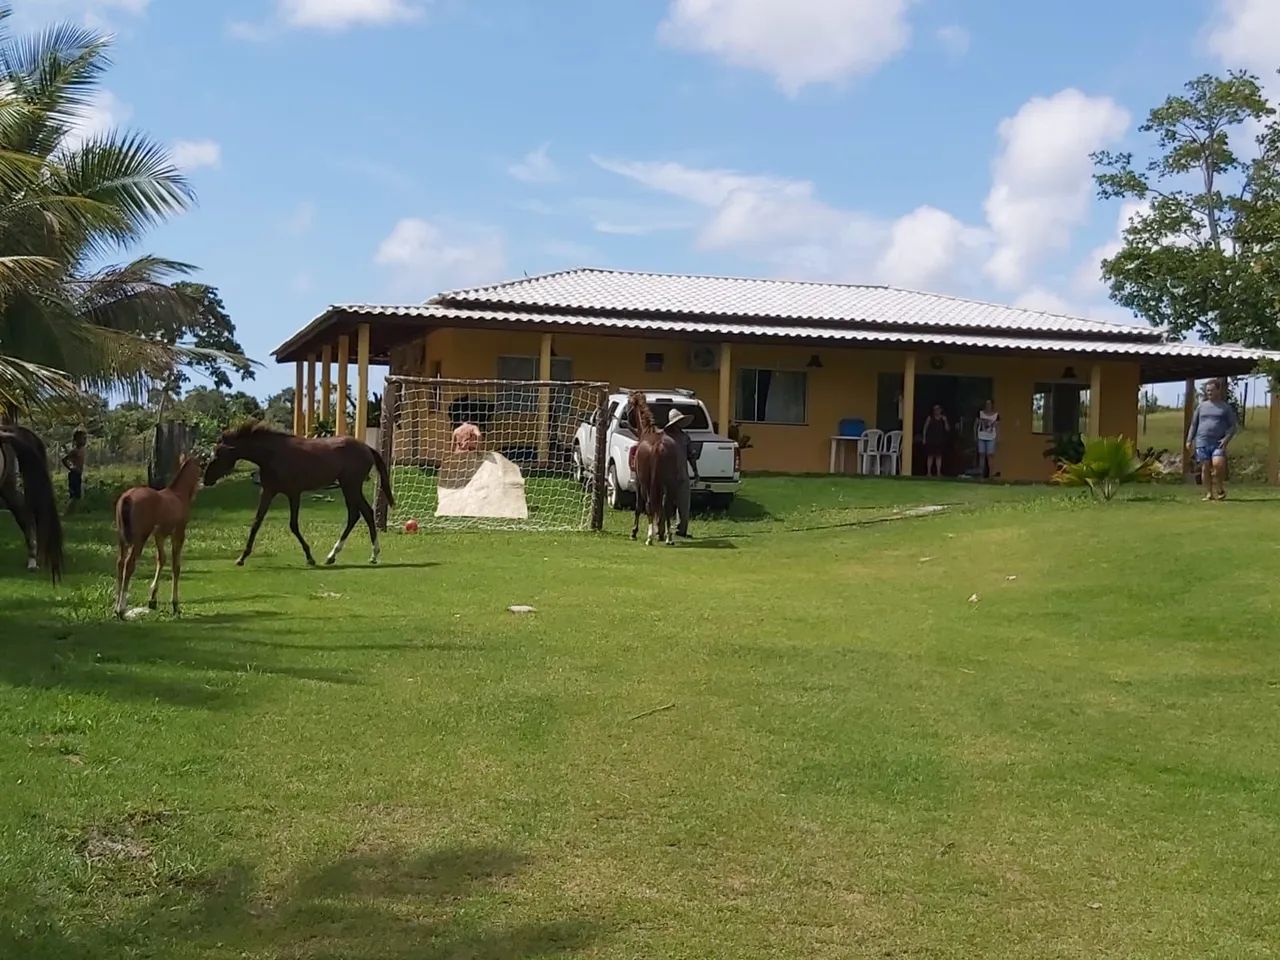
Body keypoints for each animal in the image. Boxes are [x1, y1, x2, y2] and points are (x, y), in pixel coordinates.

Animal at [114, 455, 199, 619]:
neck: (178, 495)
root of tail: (128, 497)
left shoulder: (159, 535)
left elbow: (161, 559)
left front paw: (152, 600)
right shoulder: (178, 534)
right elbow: (176, 566)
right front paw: (175, 605)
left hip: (122, 538)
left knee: (120, 563)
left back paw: (116, 607)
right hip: (139, 538)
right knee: (129, 564)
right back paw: (121, 609)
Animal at [200, 424, 394, 568]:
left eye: (218, 456)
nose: (206, 479)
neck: (272, 455)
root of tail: (367, 448)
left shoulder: (293, 493)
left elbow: (293, 525)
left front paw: (310, 557)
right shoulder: (268, 491)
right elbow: (256, 523)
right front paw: (241, 558)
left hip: (351, 486)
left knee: (362, 513)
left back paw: (365, 555)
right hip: (349, 487)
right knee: (359, 514)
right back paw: (339, 556)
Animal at [627, 389, 686, 542]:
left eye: (629, 404)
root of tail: (658, 446)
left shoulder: (638, 482)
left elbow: (638, 506)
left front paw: (634, 532)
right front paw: (660, 532)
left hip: (647, 483)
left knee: (649, 505)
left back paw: (649, 537)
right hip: (669, 483)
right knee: (667, 506)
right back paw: (668, 537)